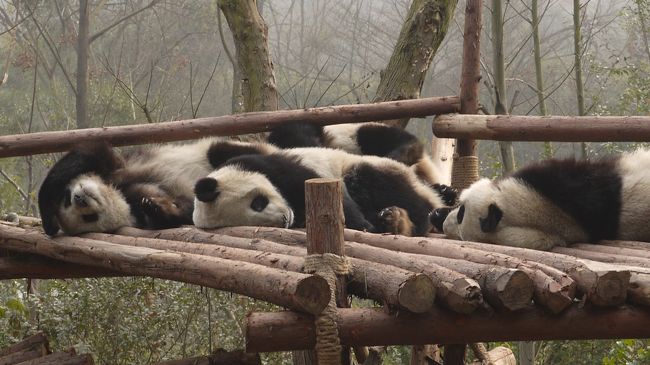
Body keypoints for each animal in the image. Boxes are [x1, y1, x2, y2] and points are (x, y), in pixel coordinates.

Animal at [192, 142, 446, 236]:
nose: (285, 219)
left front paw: (363, 225)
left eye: (257, 203)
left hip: (373, 168)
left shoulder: (269, 165)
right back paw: (393, 221)